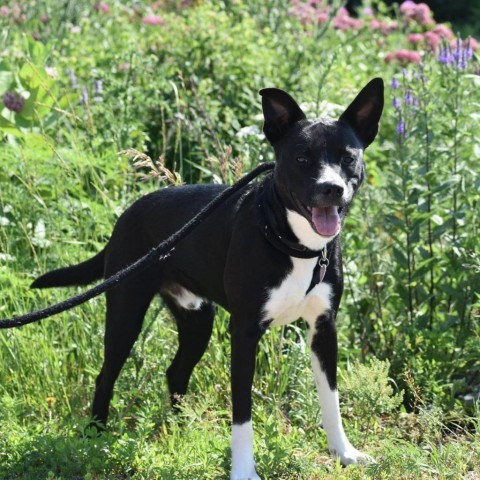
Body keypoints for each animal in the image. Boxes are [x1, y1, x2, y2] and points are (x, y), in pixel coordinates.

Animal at [31, 77, 384, 478]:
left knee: (175, 372)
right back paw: (96, 436)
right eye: (301, 158)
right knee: (106, 375)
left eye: (348, 157)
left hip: (197, 318)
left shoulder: (324, 328)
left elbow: (331, 399)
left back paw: (183, 429)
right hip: (125, 313)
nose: (332, 188)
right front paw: (243, 471)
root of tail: (128, 213)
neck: (293, 243)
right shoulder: (244, 332)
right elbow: (242, 414)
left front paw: (345, 453)